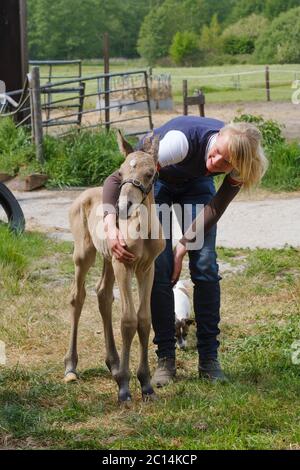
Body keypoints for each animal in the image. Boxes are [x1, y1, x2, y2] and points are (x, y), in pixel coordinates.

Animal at [63, 130, 166, 402]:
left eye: (150, 173)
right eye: (120, 171)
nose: (122, 207)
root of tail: (83, 194)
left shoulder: (146, 268)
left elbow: (144, 320)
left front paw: (146, 383)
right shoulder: (124, 265)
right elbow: (128, 321)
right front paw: (124, 387)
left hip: (108, 259)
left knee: (103, 294)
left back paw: (114, 363)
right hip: (84, 255)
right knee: (77, 297)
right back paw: (71, 367)